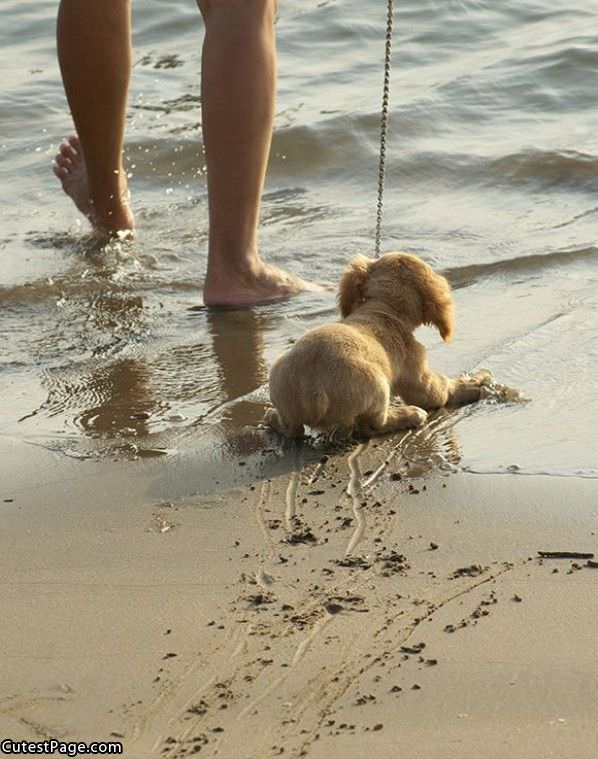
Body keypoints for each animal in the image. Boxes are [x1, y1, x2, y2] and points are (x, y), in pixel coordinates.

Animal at [268, 252, 492, 436]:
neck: (384, 309)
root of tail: (312, 392)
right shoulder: (416, 373)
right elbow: (438, 392)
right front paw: (469, 384)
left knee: (291, 428)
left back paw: (271, 418)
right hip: (378, 384)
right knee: (371, 426)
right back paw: (409, 415)